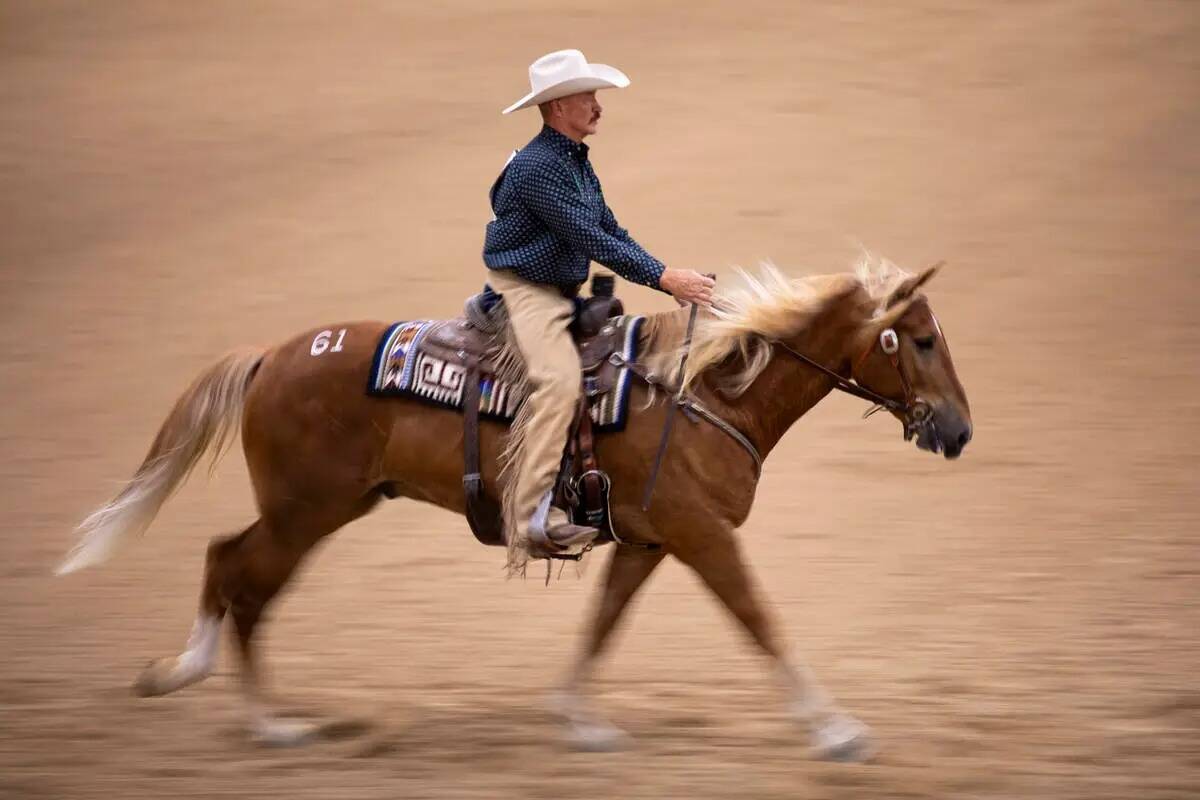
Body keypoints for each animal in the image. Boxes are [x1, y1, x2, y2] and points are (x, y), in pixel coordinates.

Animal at [58, 260, 974, 762]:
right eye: (922, 339)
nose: (960, 430)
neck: (704, 391)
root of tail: (271, 357)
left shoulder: (648, 541)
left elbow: (602, 624)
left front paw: (579, 721)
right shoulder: (702, 535)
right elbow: (761, 621)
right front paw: (837, 733)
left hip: (321, 508)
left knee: (226, 562)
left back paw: (192, 679)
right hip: (304, 513)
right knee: (242, 578)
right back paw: (265, 722)